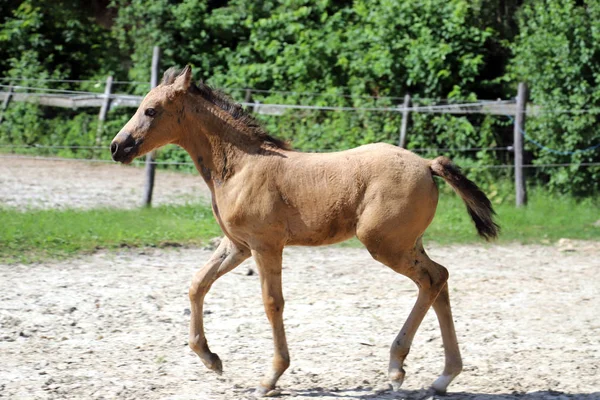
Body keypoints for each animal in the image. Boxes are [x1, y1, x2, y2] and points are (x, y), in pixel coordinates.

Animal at [110, 65, 500, 394]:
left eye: (151, 111)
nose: (117, 147)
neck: (240, 167)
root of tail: (426, 164)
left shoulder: (265, 245)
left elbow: (272, 303)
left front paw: (270, 378)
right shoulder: (237, 245)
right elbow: (197, 285)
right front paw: (211, 359)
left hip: (384, 244)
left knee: (431, 280)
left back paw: (396, 368)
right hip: (408, 243)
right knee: (440, 279)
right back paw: (442, 378)